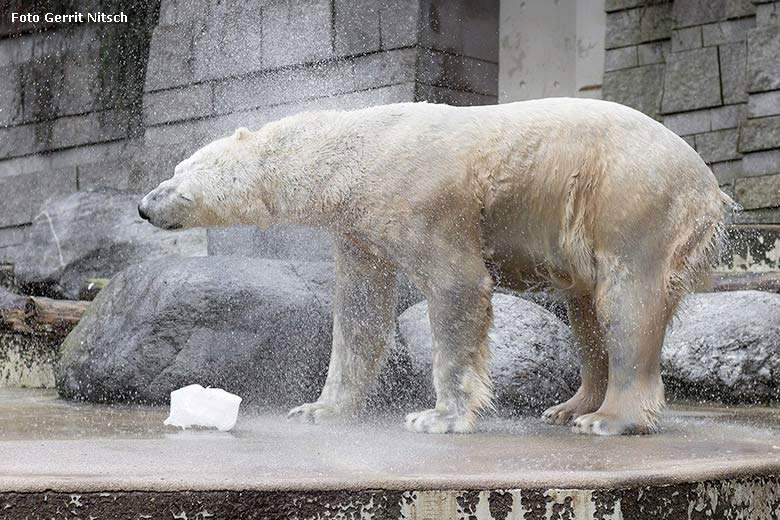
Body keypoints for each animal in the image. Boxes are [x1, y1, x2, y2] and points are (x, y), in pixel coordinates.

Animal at [139, 98, 732, 434]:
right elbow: (359, 311)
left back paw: (608, 420)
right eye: (176, 167)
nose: (145, 205)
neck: (354, 148)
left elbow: (458, 287)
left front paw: (438, 417)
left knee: (627, 302)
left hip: (630, 196)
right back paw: (568, 408)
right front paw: (318, 409)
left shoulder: (421, 198)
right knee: (585, 309)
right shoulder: (359, 225)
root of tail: (709, 183)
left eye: (182, 184)